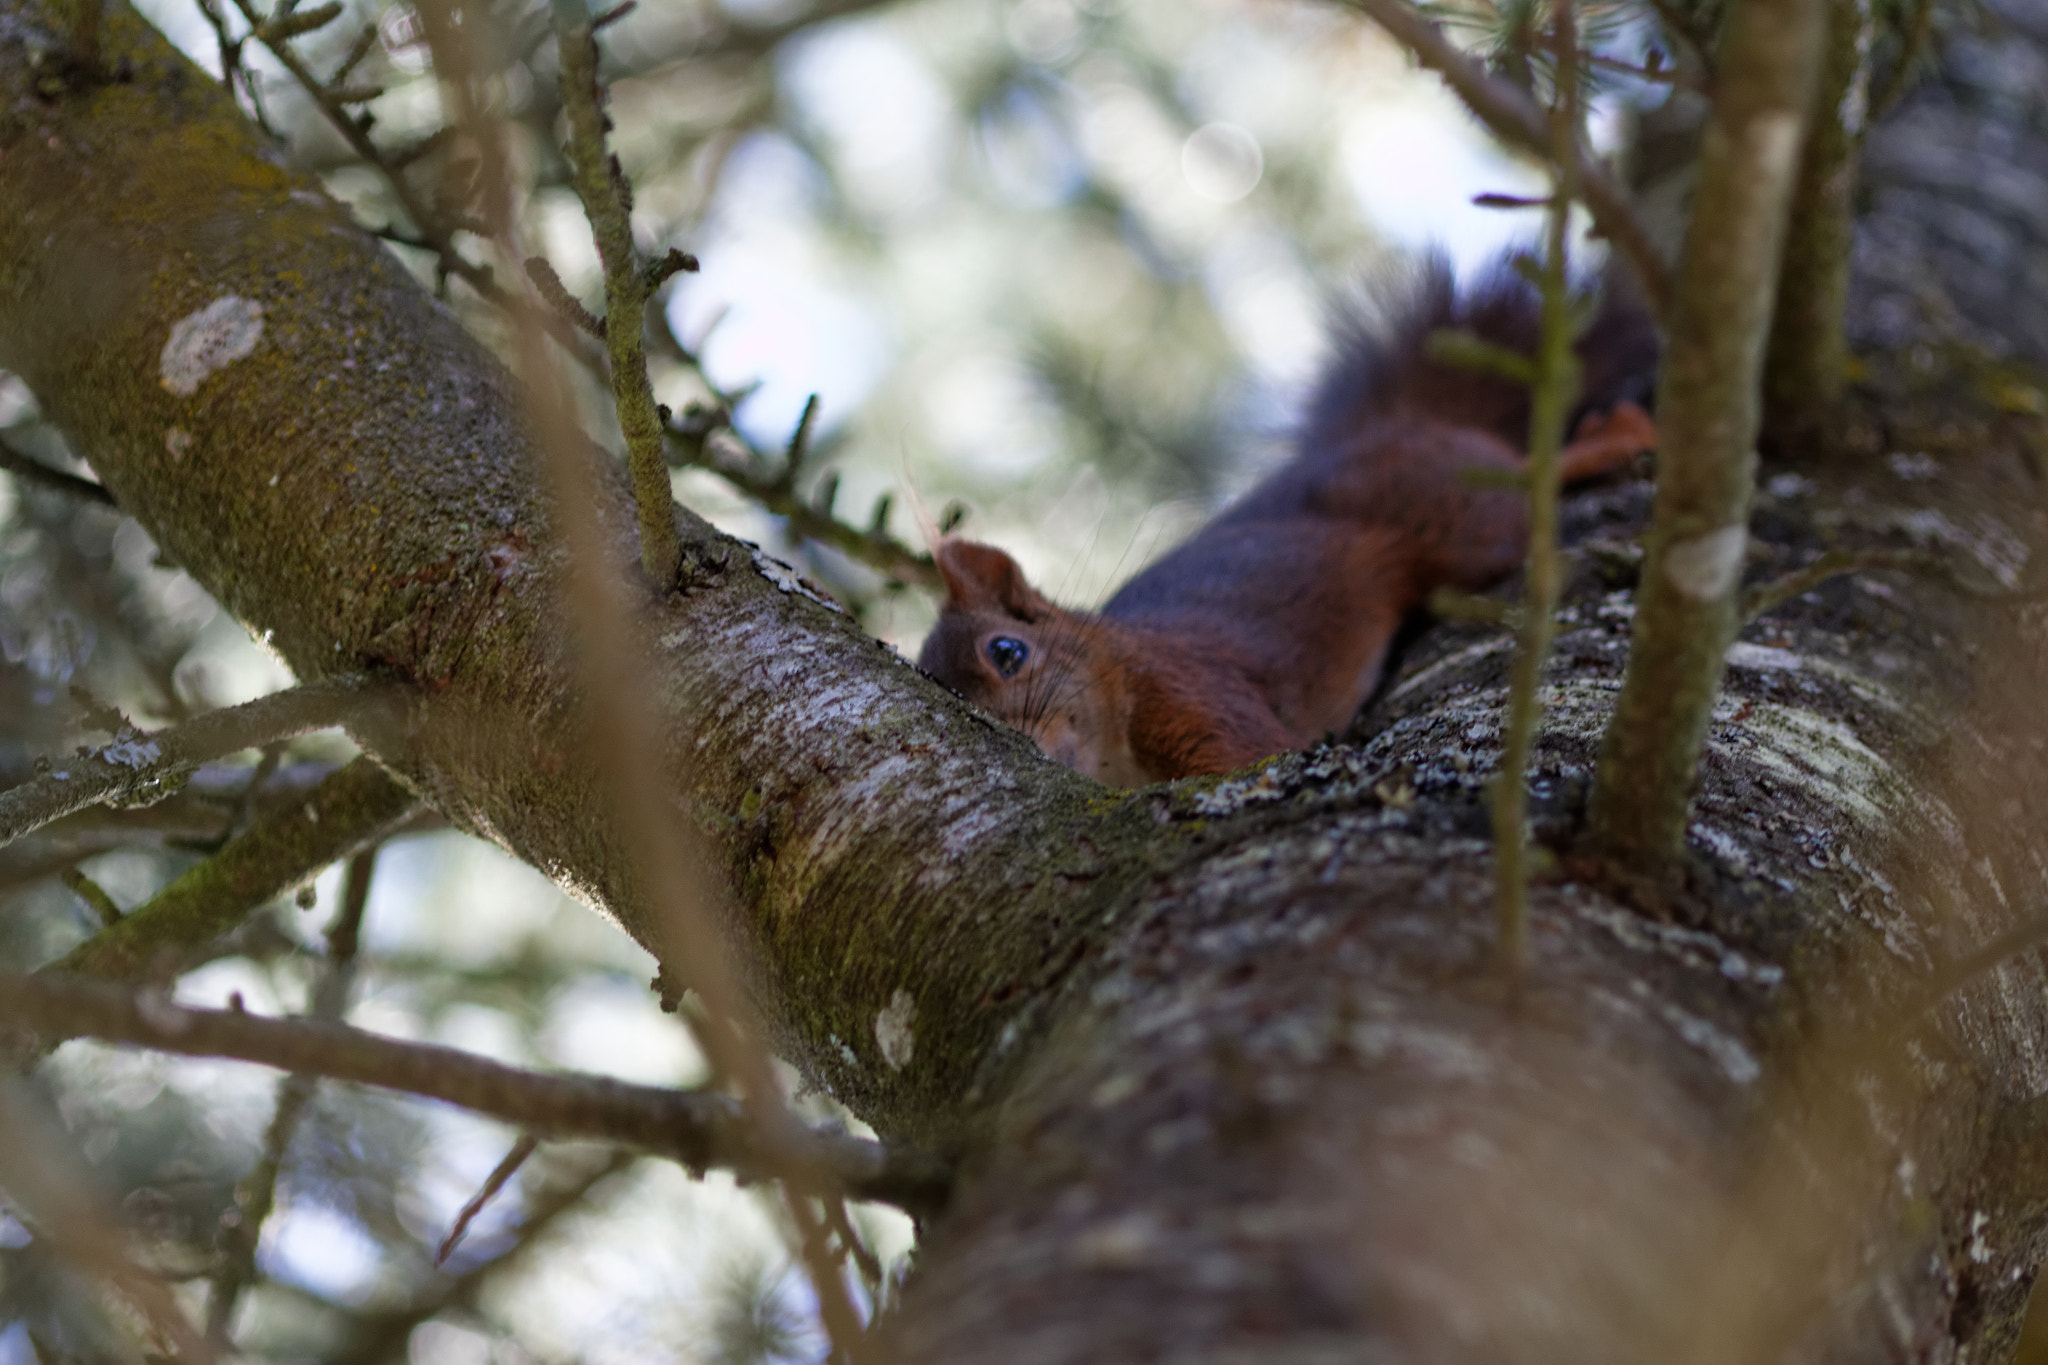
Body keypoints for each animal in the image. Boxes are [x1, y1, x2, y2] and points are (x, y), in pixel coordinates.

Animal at [921, 258, 1654, 789]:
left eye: (1007, 652)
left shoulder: (1190, 691)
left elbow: (1254, 756)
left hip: (1462, 514)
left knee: (1529, 474)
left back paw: (1617, 436)